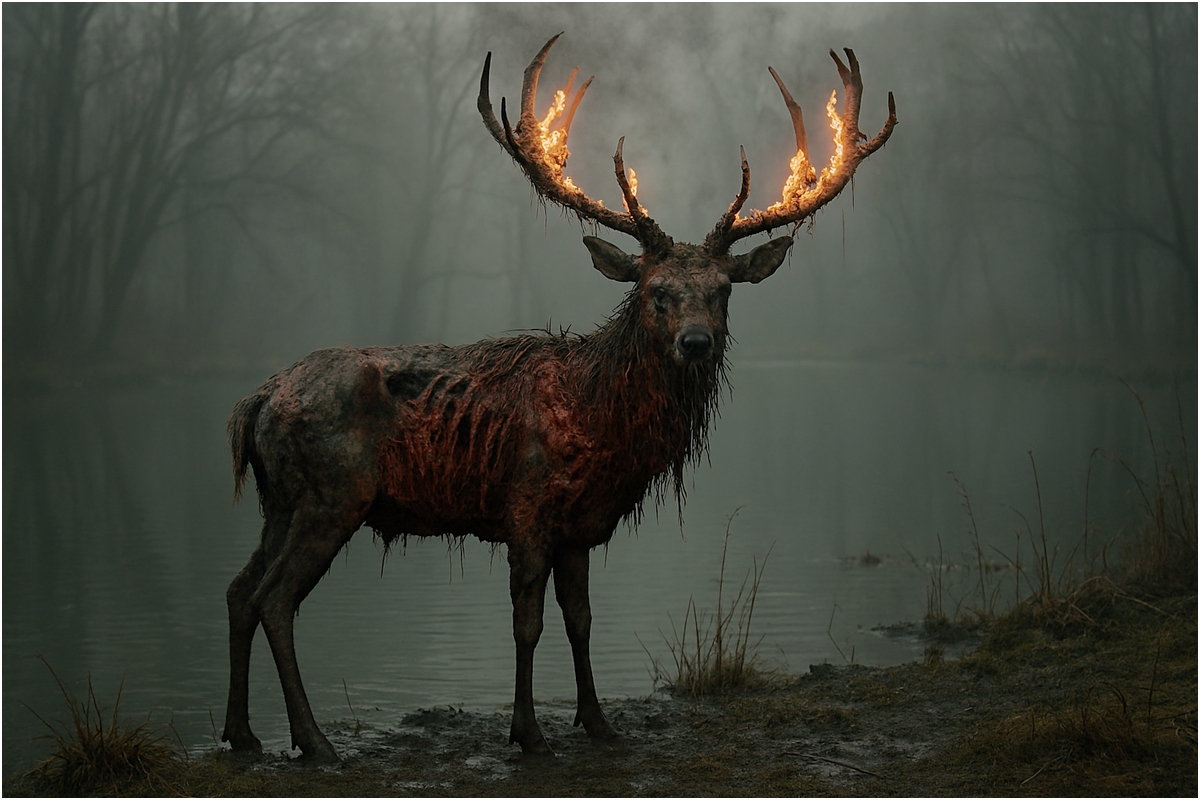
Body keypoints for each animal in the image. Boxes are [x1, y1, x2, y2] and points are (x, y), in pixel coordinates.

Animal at [221, 33, 896, 764]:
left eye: (722, 291)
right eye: (656, 290)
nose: (695, 343)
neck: (600, 422)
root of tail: (255, 402)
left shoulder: (581, 526)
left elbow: (580, 621)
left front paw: (597, 721)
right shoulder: (526, 507)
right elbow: (528, 624)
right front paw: (529, 732)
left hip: (278, 500)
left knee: (238, 591)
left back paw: (242, 733)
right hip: (331, 493)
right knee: (274, 599)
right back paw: (313, 740)